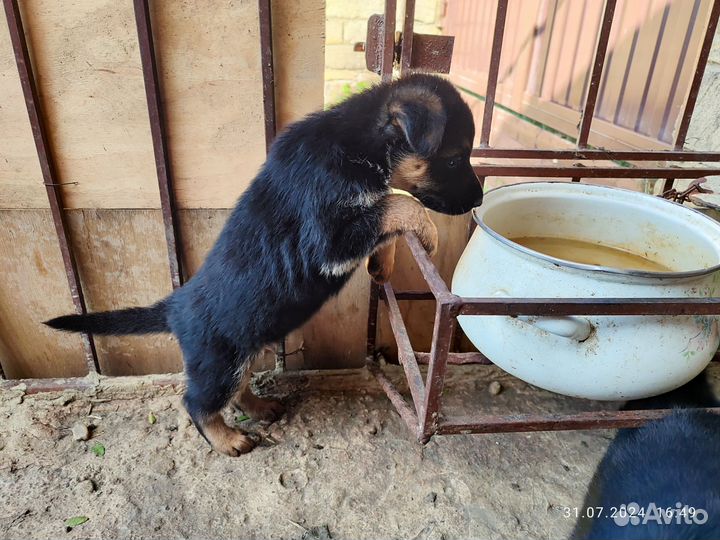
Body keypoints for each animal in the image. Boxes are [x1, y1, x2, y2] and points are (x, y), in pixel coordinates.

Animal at [45, 74, 484, 456]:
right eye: (454, 160)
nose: (479, 200)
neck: (357, 142)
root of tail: (174, 307)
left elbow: (387, 208)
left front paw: (383, 262)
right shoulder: (328, 238)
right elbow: (395, 203)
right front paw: (428, 231)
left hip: (245, 346)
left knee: (237, 390)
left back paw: (260, 408)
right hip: (219, 361)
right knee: (196, 402)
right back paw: (227, 440)